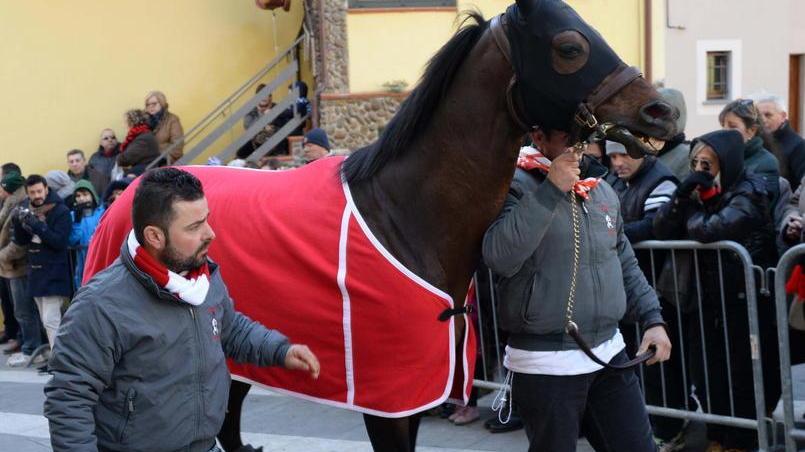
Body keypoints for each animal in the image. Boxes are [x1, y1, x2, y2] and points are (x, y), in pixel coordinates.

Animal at [83, 0, 679, 450]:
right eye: (570, 47)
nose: (663, 111)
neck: (405, 217)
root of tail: (127, 196)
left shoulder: (417, 395)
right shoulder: (389, 402)